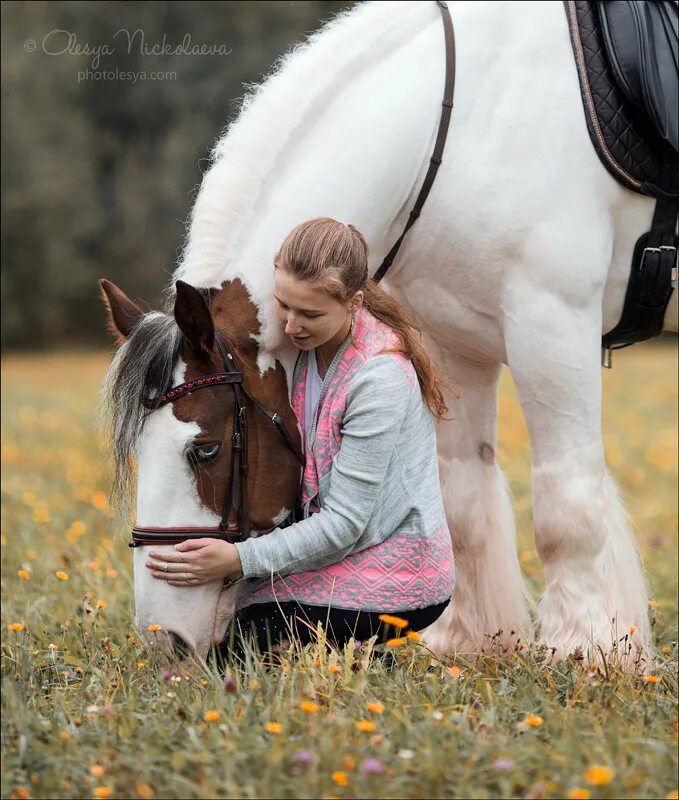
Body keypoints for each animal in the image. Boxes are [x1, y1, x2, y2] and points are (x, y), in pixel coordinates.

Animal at [103, 0, 676, 664]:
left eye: (206, 449)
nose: (164, 640)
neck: (465, 122)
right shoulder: (453, 342)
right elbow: (463, 502)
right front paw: (474, 644)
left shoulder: (553, 324)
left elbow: (569, 505)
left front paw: (584, 649)